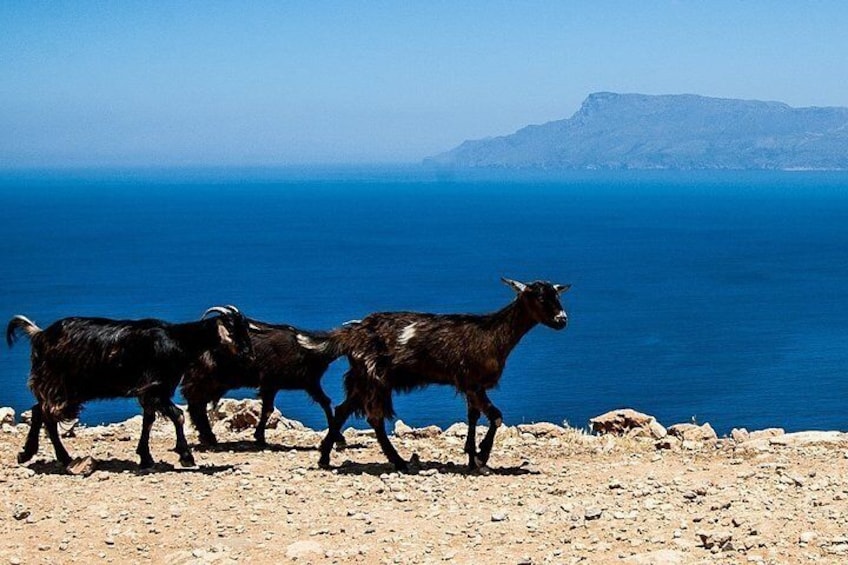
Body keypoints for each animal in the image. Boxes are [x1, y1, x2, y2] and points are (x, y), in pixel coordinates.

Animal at [6, 306, 253, 470]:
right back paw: (57, 457)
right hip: (59, 384)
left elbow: (148, 420)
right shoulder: (154, 388)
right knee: (45, 413)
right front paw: (186, 456)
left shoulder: (152, 392)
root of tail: (39, 334)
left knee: (40, 411)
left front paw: (145, 457)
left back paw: (34, 454)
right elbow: (178, 416)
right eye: (234, 329)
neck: (178, 340)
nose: (249, 356)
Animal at [181, 320, 344, 448]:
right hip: (204, 378)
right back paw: (208, 437)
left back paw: (206, 437)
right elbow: (268, 409)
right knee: (196, 404)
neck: (308, 348)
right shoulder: (280, 382)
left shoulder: (296, 384)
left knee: (198, 405)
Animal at [318, 278, 568, 472]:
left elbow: (473, 417)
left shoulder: (471, 385)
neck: (492, 334)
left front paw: (471, 458)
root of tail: (352, 333)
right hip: (374, 377)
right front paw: (481, 457)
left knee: (342, 410)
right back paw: (399, 462)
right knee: (375, 418)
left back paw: (324, 458)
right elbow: (496, 416)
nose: (562, 319)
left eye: (557, 296)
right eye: (539, 298)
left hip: (363, 378)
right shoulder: (473, 383)